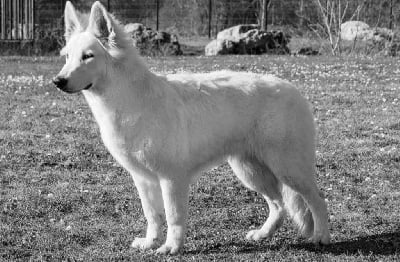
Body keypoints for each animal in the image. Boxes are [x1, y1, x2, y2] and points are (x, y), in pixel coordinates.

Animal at [52, 1, 328, 255]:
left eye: (88, 56)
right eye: (67, 57)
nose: (57, 81)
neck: (131, 101)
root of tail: (292, 89)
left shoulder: (172, 178)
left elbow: (173, 216)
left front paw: (171, 247)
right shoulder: (143, 179)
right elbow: (152, 215)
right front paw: (150, 242)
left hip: (289, 169)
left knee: (317, 200)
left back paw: (320, 237)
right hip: (250, 171)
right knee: (279, 205)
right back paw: (263, 234)